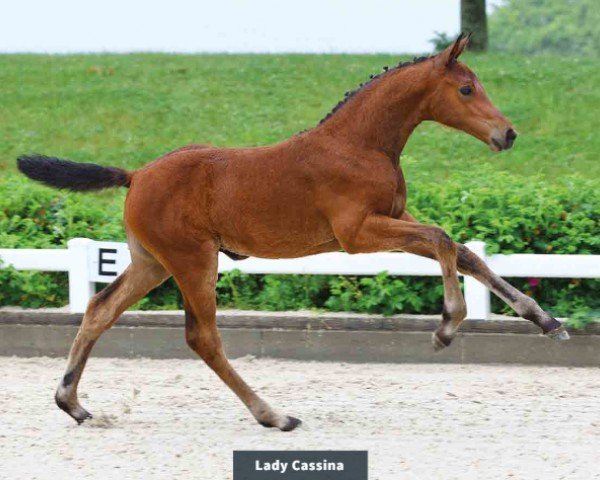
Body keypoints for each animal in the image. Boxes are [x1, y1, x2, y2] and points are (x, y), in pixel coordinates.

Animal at [15, 34, 568, 432]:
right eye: (467, 88)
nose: (508, 134)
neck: (359, 144)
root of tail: (136, 175)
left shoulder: (392, 219)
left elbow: (464, 251)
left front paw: (544, 319)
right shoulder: (357, 233)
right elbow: (442, 239)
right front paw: (447, 325)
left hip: (152, 262)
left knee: (99, 309)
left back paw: (72, 403)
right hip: (193, 260)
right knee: (202, 337)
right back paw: (274, 415)